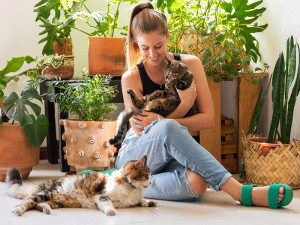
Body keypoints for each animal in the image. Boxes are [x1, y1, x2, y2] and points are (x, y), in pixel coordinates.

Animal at [5, 155, 156, 216]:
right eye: (146, 176)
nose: (150, 182)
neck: (132, 188)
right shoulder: (100, 195)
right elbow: (107, 204)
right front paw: (111, 211)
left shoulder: (132, 200)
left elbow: (140, 200)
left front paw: (150, 202)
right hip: (50, 192)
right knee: (27, 202)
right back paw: (18, 210)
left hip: (58, 201)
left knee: (37, 204)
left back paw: (46, 209)